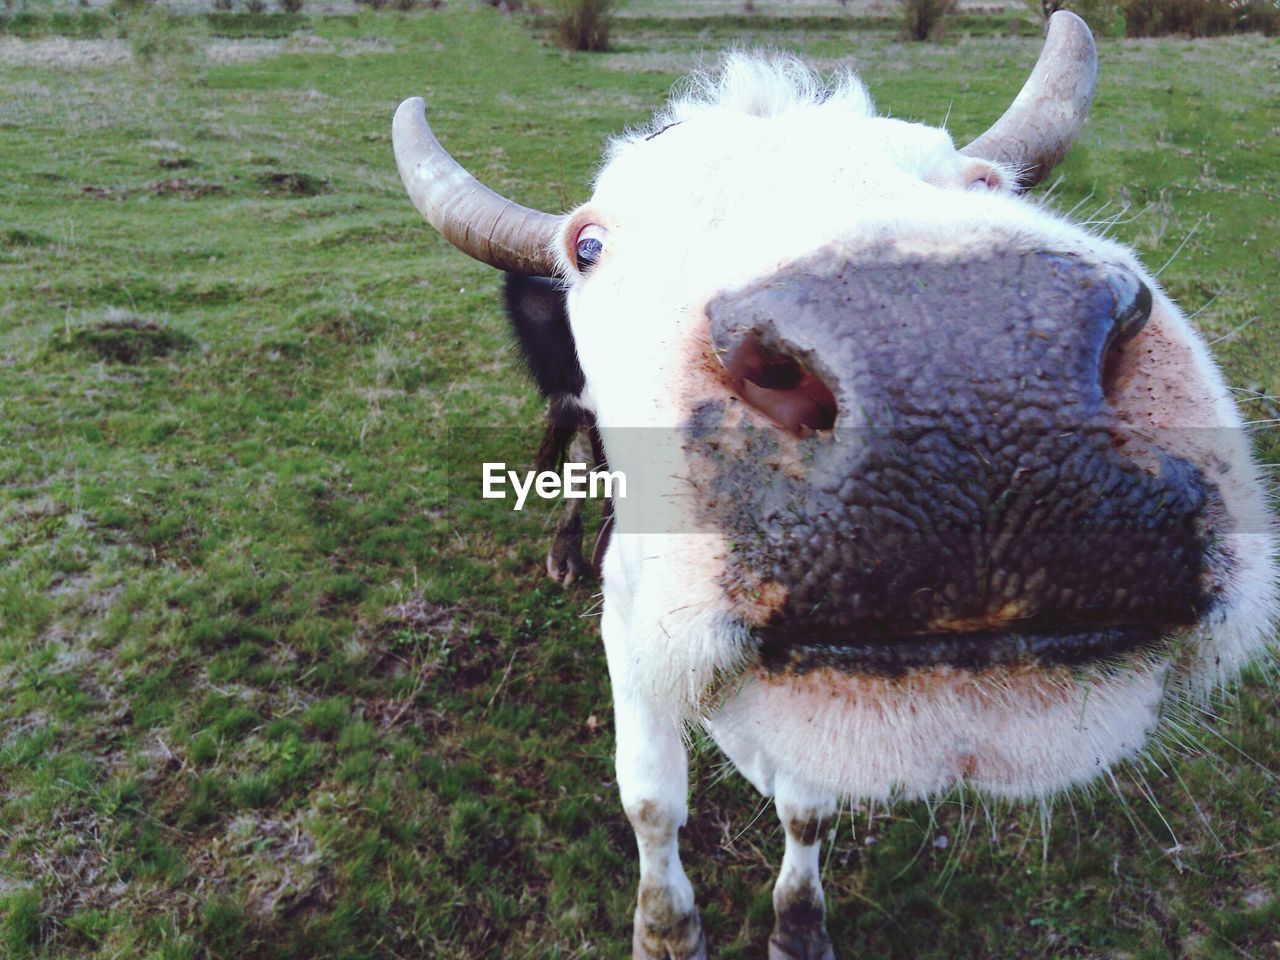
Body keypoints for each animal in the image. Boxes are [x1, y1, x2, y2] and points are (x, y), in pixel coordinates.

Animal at [394, 13, 1274, 957]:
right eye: (589, 246)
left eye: (984, 181)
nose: (964, 362)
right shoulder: (626, 634)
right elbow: (652, 800)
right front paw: (666, 931)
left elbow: (807, 811)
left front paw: (797, 927)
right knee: (569, 435)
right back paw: (568, 545)